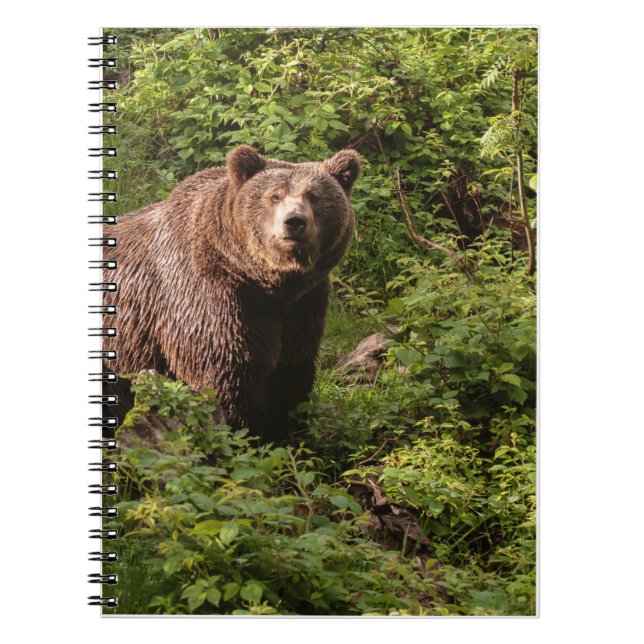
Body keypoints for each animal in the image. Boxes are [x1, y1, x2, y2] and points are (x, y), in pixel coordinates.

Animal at [103, 145, 361, 442]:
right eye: (274, 196)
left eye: (314, 196)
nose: (294, 222)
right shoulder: (213, 297)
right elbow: (227, 375)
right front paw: (250, 431)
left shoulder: (304, 304)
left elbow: (292, 371)